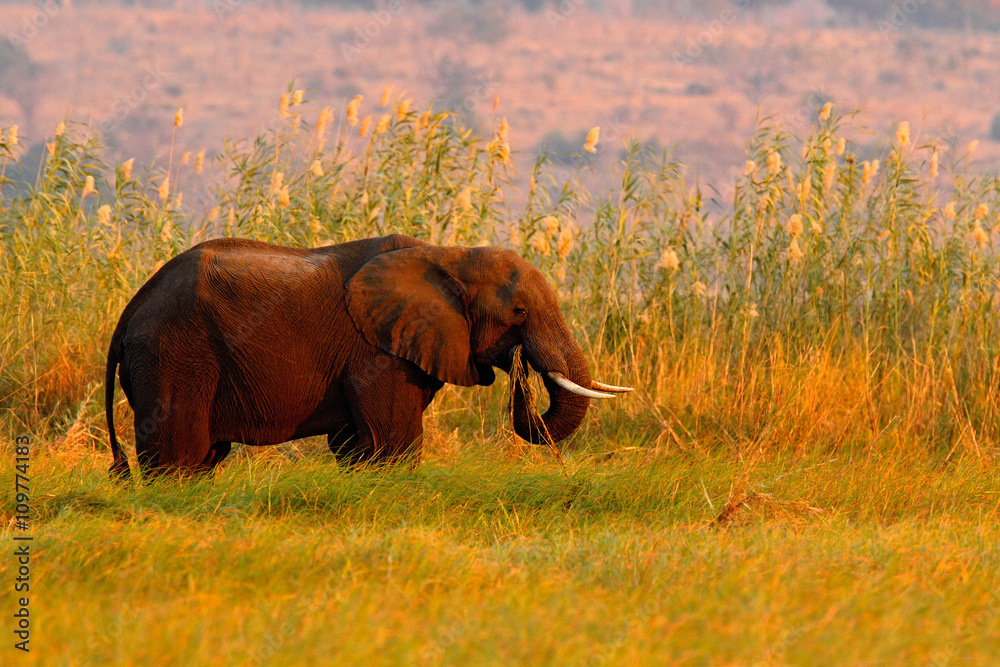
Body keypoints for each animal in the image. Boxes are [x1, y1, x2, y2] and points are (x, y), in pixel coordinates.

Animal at [106, 233, 632, 478]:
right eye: (518, 312)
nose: (523, 368)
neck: (449, 254)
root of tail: (131, 308)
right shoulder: (377, 354)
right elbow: (391, 442)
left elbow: (355, 445)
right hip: (174, 353)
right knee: (179, 455)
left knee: (203, 457)